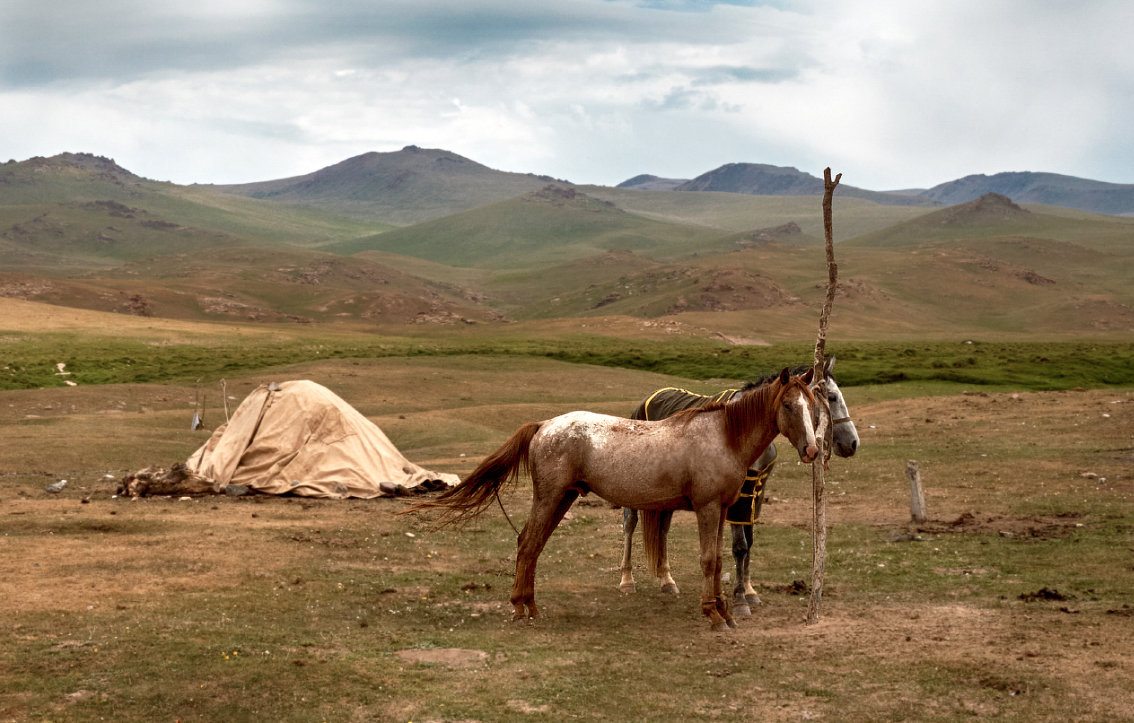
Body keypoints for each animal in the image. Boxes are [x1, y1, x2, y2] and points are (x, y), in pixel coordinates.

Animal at [424, 371, 816, 630]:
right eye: (788, 405)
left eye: (813, 406)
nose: (811, 450)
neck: (723, 436)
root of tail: (544, 425)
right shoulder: (706, 509)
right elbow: (708, 561)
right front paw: (713, 614)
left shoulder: (720, 510)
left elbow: (718, 561)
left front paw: (726, 611)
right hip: (550, 497)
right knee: (527, 542)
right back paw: (521, 608)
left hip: (563, 498)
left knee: (532, 545)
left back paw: (530, 606)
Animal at [621, 358, 857, 616]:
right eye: (831, 397)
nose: (852, 443)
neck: (743, 427)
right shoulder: (739, 496)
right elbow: (740, 546)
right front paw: (740, 599)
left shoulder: (757, 493)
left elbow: (750, 542)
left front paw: (750, 591)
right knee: (630, 524)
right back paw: (627, 580)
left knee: (662, 530)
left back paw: (667, 580)